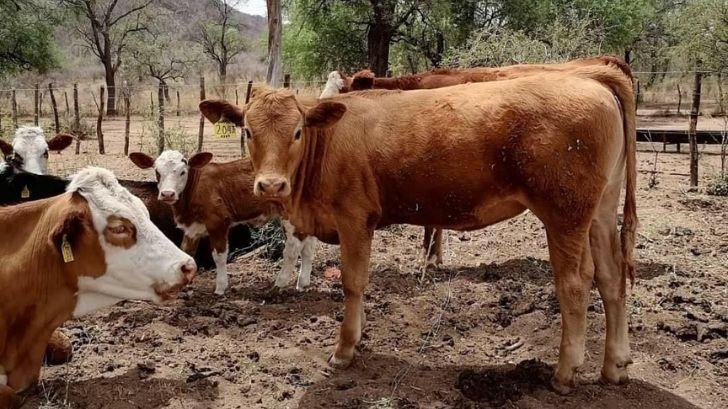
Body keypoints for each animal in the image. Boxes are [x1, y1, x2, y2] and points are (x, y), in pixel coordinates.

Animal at [129, 150, 318, 294]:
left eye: (183, 172)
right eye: (157, 172)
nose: (168, 194)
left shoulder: (218, 222)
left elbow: (219, 256)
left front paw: (220, 288)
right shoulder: (191, 229)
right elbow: (187, 253)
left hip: (289, 215)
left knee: (293, 248)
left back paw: (279, 284)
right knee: (308, 247)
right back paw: (302, 284)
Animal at [199, 59, 636, 392]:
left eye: (296, 131)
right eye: (248, 130)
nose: (271, 184)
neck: (328, 143)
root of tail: (590, 77)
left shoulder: (354, 218)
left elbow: (353, 282)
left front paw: (345, 349)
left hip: (564, 214)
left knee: (575, 284)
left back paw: (564, 373)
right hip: (600, 210)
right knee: (612, 277)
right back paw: (614, 366)